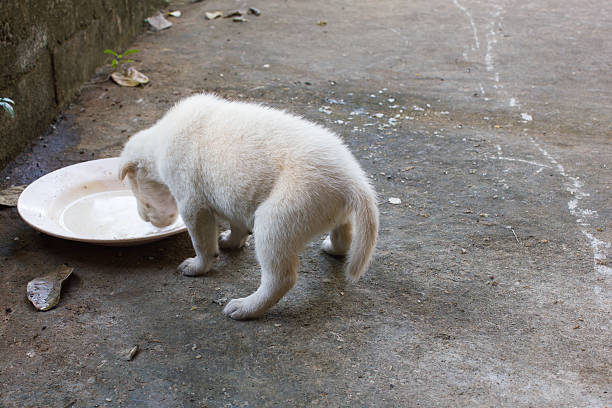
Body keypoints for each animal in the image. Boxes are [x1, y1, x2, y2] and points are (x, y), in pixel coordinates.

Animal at [119, 94, 378, 320]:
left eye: (139, 194)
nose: (144, 218)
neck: (160, 143)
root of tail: (354, 180)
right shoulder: (233, 196)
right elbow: (237, 225)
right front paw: (231, 241)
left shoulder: (193, 204)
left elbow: (202, 243)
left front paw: (197, 266)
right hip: (327, 209)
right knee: (344, 233)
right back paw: (332, 248)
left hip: (279, 219)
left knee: (280, 278)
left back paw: (246, 308)